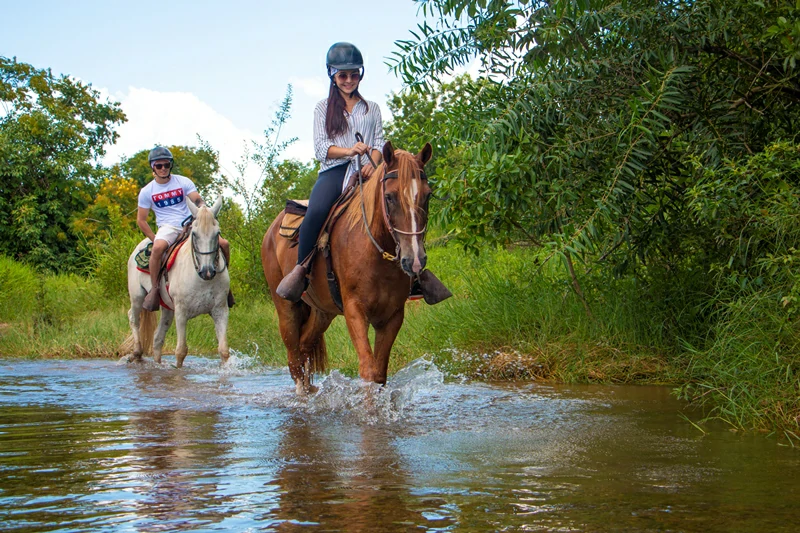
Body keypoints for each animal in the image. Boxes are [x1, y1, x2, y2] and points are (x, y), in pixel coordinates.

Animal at [125, 197, 230, 368]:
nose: (207, 271)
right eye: (194, 234)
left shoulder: (220, 311)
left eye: (217, 233)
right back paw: (136, 353)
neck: (200, 279)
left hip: (167, 309)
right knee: (134, 318)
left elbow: (224, 351)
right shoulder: (181, 312)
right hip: (137, 297)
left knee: (157, 338)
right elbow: (181, 351)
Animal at [260, 141, 432, 394]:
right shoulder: (354, 310)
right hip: (286, 308)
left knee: (304, 347)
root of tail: (271, 230)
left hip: (322, 312)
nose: (415, 260)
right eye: (389, 197)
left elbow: (380, 374)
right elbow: (368, 370)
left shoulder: (392, 316)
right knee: (294, 359)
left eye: (428, 196)